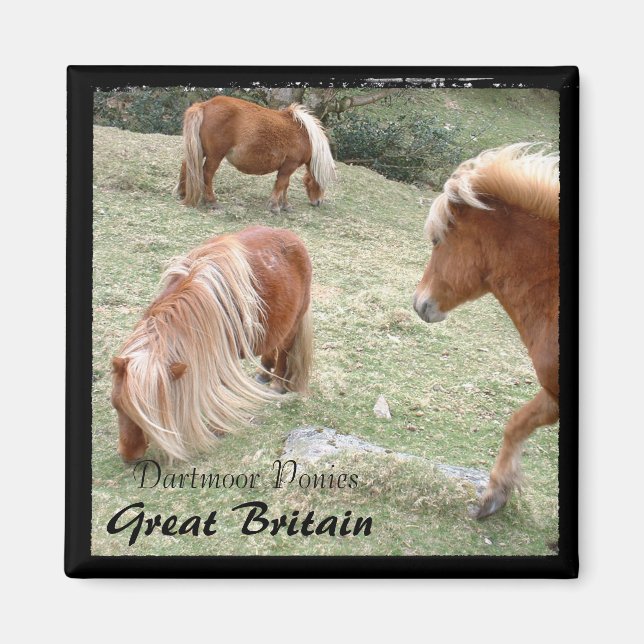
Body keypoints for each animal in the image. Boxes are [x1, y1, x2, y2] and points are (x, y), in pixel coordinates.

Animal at [111, 226, 314, 463]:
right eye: (116, 405)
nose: (128, 456)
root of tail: (293, 237)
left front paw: (218, 426)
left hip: (294, 322)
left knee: (284, 349)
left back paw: (277, 384)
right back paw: (263, 372)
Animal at [175, 95, 336, 214]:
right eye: (321, 182)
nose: (318, 202)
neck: (304, 134)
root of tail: (204, 105)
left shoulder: (287, 167)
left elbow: (285, 185)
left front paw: (285, 205)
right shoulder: (289, 166)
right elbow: (281, 184)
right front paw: (275, 206)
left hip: (201, 150)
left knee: (186, 165)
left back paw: (182, 192)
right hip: (215, 156)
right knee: (207, 174)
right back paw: (211, 202)